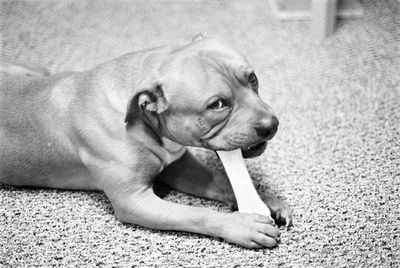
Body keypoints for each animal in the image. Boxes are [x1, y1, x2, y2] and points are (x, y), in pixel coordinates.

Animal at [1, 36, 292, 249]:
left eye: (252, 78)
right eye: (217, 105)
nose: (271, 125)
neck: (142, 117)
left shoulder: (181, 167)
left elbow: (223, 181)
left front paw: (265, 199)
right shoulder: (134, 201)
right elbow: (196, 214)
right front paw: (240, 225)